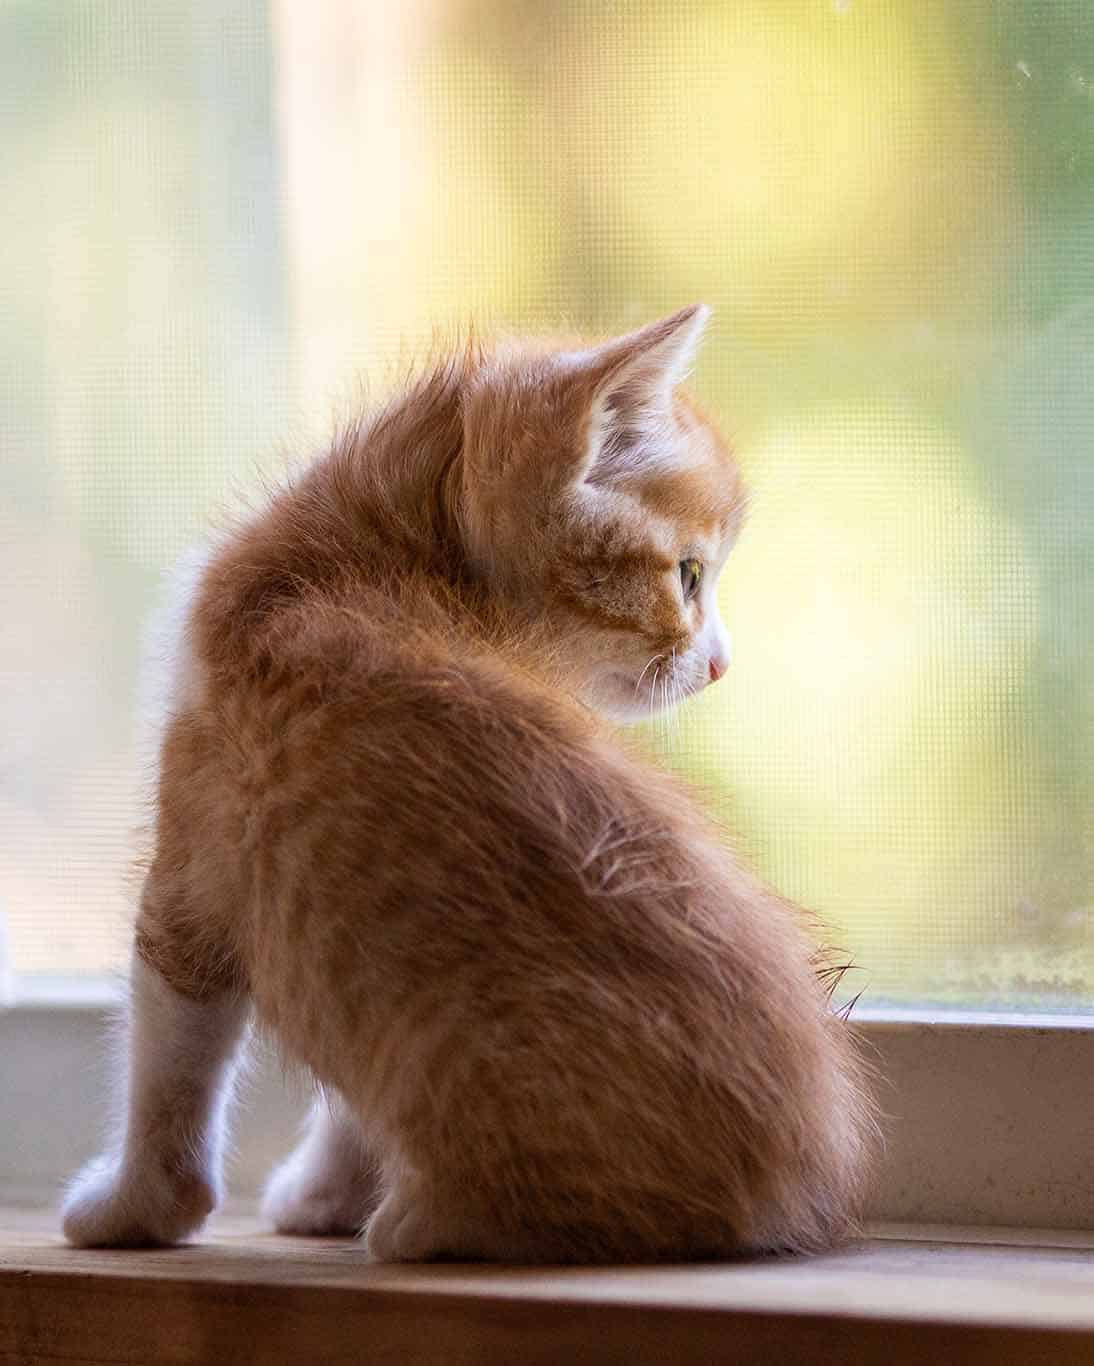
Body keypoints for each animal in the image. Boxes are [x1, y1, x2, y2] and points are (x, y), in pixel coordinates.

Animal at [64, 307, 874, 1256]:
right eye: (688, 576)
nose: (720, 664)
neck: (360, 567)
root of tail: (791, 1186)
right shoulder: (319, 921)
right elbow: (351, 1087)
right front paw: (327, 1194)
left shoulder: (199, 853)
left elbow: (169, 1057)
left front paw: (135, 1208)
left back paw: (417, 1222)